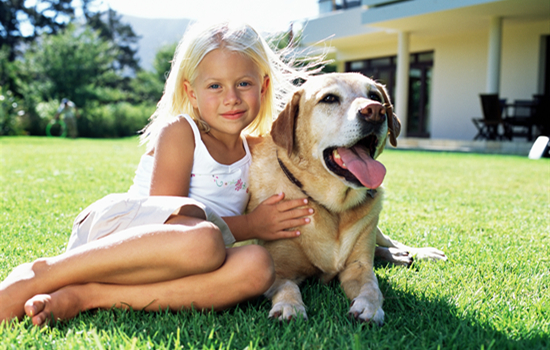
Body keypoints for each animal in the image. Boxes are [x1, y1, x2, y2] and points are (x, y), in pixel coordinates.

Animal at [248, 72, 446, 324]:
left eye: (374, 96)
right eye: (329, 98)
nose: (375, 111)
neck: (332, 207)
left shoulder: (358, 266)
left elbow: (372, 286)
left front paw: (369, 307)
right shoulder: (278, 270)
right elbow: (288, 287)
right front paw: (289, 306)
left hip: (375, 228)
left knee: (388, 243)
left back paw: (417, 253)